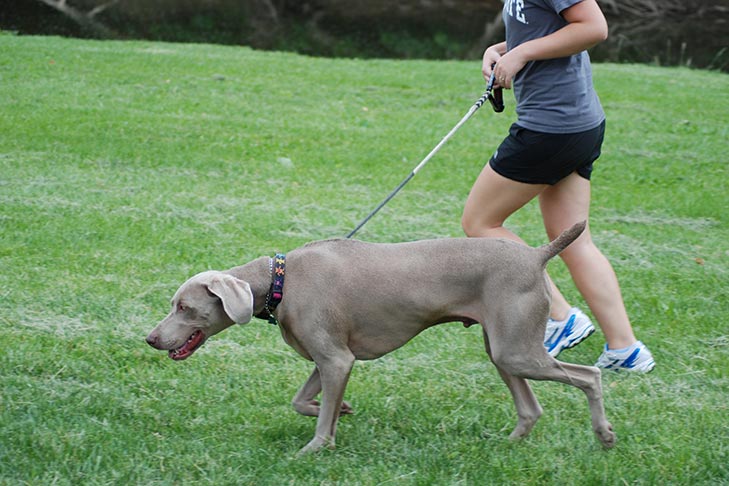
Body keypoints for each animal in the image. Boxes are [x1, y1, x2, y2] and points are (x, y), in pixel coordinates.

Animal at [146, 221, 616, 456]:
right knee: (530, 408)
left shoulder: (337, 359)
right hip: (502, 347)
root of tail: (537, 255)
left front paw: (313, 449)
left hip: (516, 349)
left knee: (589, 376)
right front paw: (340, 409)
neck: (281, 280)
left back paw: (605, 434)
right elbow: (302, 400)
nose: (150, 339)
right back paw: (507, 445)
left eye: (184, 307)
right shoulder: (330, 359)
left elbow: (319, 423)